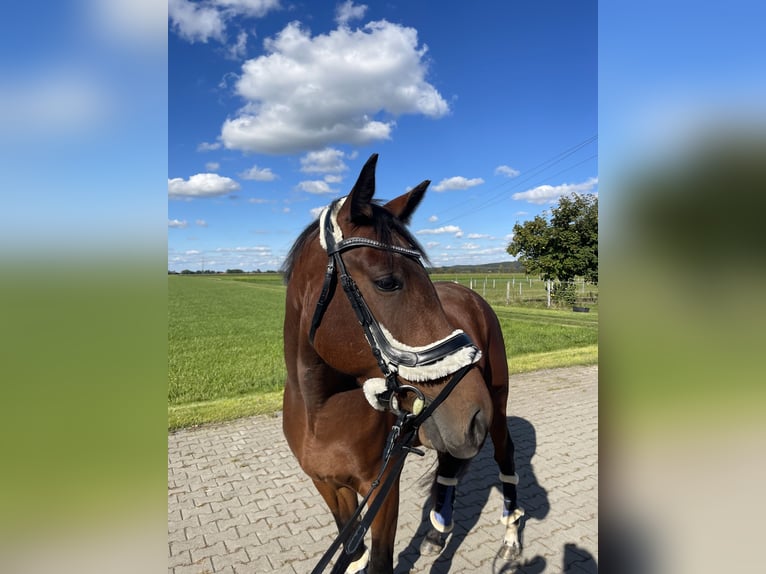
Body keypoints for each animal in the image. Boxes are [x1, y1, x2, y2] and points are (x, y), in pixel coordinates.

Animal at [282, 154, 528, 574]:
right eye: (387, 282)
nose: (474, 414)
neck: (321, 414)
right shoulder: (328, 486)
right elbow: (353, 549)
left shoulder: (382, 486)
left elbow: (380, 560)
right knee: (450, 459)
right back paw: (438, 529)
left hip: (492, 409)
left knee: (504, 455)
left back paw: (509, 541)